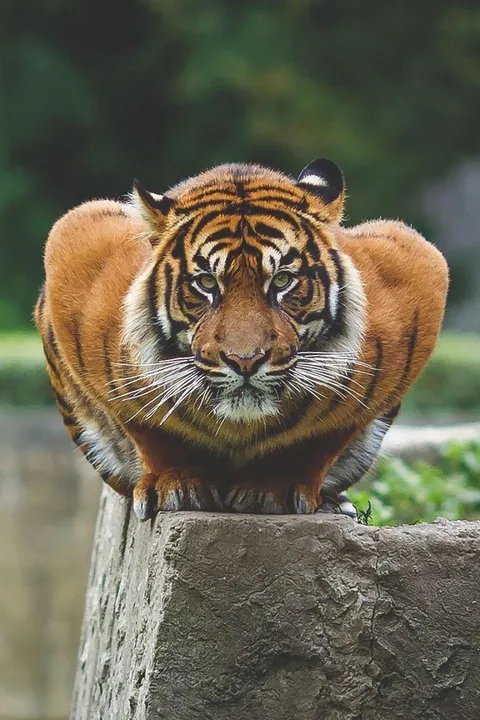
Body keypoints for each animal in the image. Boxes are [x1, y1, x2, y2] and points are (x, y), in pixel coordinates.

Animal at [34, 158, 449, 521]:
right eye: (206, 283)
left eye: (282, 281)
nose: (245, 361)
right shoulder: (75, 240)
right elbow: (149, 427)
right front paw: (176, 483)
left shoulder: (417, 266)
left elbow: (323, 438)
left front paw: (275, 487)